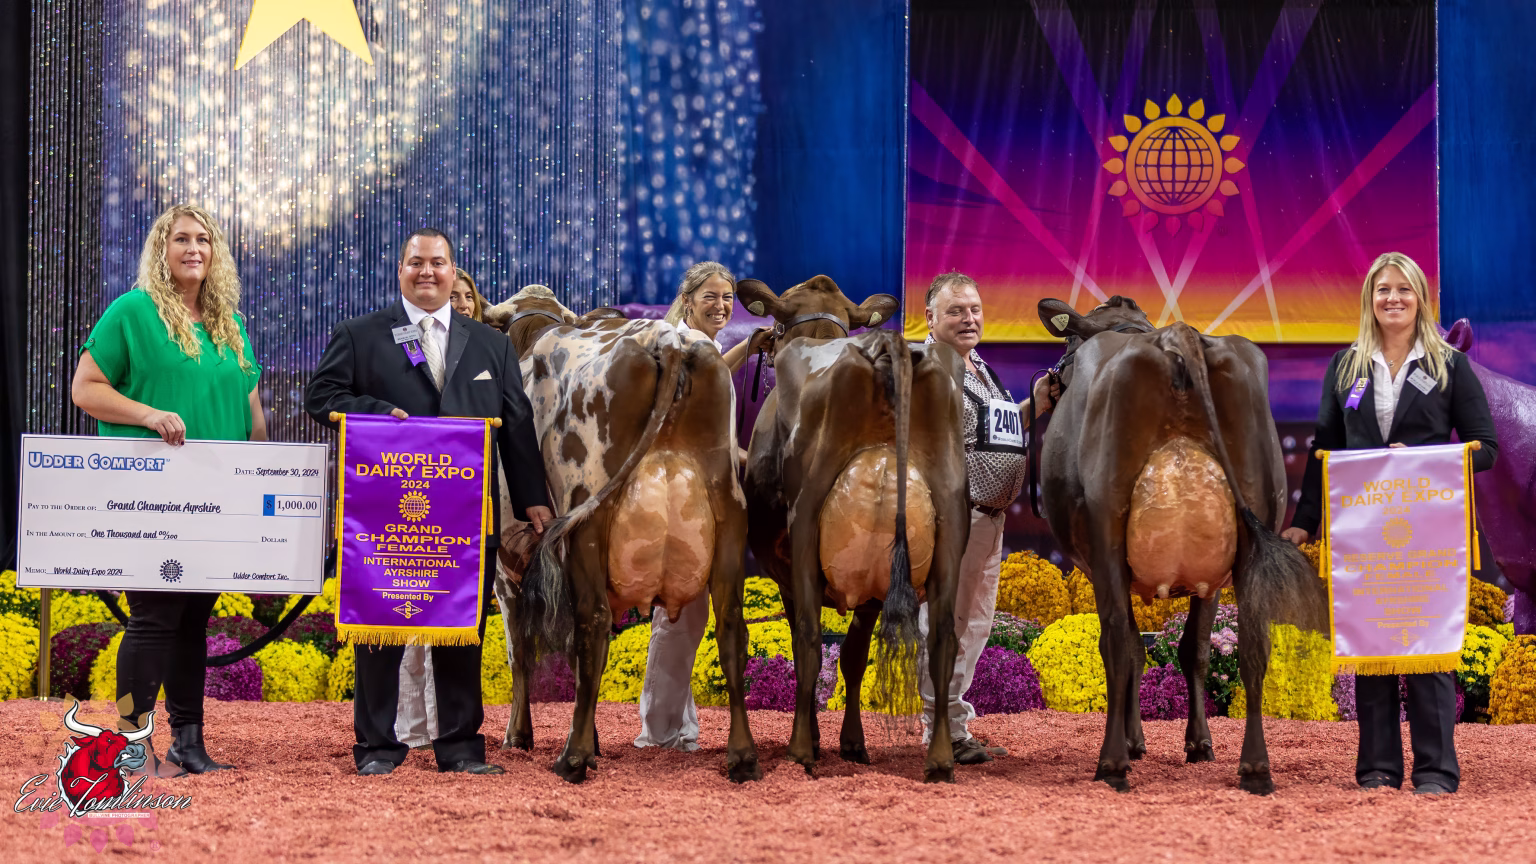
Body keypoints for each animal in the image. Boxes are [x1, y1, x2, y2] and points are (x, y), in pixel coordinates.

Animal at [517, 317, 760, 783]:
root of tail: (666, 337)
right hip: (731, 516)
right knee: (731, 628)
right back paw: (742, 756)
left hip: (586, 519)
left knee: (592, 623)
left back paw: (573, 758)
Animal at [736, 275, 970, 783]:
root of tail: (885, 342)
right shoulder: (872, 590)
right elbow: (855, 657)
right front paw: (853, 742)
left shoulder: (786, 571)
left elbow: (814, 646)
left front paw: (822, 739)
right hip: (950, 520)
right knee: (944, 638)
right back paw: (940, 758)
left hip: (805, 518)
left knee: (807, 636)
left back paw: (800, 750)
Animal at [1035, 295, 1327, 795]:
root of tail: (1176, 334)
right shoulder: (1210, 580)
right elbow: (1194, 649)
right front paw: (1198, 743)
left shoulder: (1103, 566)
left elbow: (1135, 647)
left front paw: (1134, 742)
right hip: (1250, 532)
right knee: (1252, 645)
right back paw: (1255, 767)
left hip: (1107, 532)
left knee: (1114, 643)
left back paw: (1111, 763)